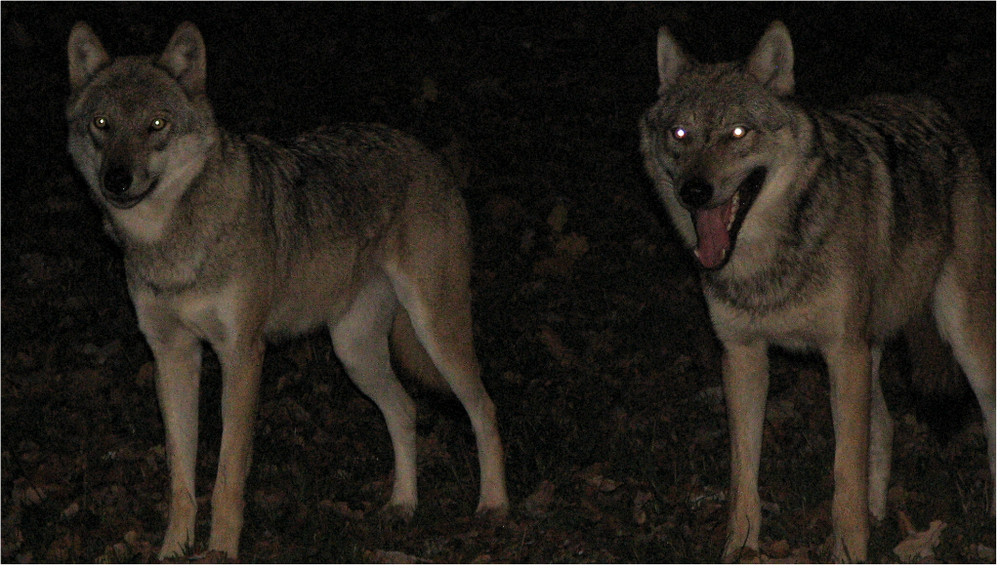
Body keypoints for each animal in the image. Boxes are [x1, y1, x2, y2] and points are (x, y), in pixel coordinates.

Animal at [66, 21, 512, 560]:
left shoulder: (241, 354)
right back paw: (403, 505)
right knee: (405, 412)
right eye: (102, 123)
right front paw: (174, 550)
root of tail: (426, 153)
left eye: (156, 125)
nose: (116, 179)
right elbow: (180, 475)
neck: (169, 240)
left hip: (435, 331)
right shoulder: (171, 355)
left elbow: (227, 474)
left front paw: (221, 552)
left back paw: (494, 507)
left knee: (482, 408)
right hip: (354, 352)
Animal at [640, 20, 992, 560]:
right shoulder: (743, 355)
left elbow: (844, 476)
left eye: (737, 133)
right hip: (871, 350)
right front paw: (740, 549)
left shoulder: (841, 353)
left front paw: (848, 553)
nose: (693, 191)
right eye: (680, 134)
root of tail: (931, 106)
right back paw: (878, 514)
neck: (767, 264)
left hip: (959, 332)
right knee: (885, 425)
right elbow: (743, 476)